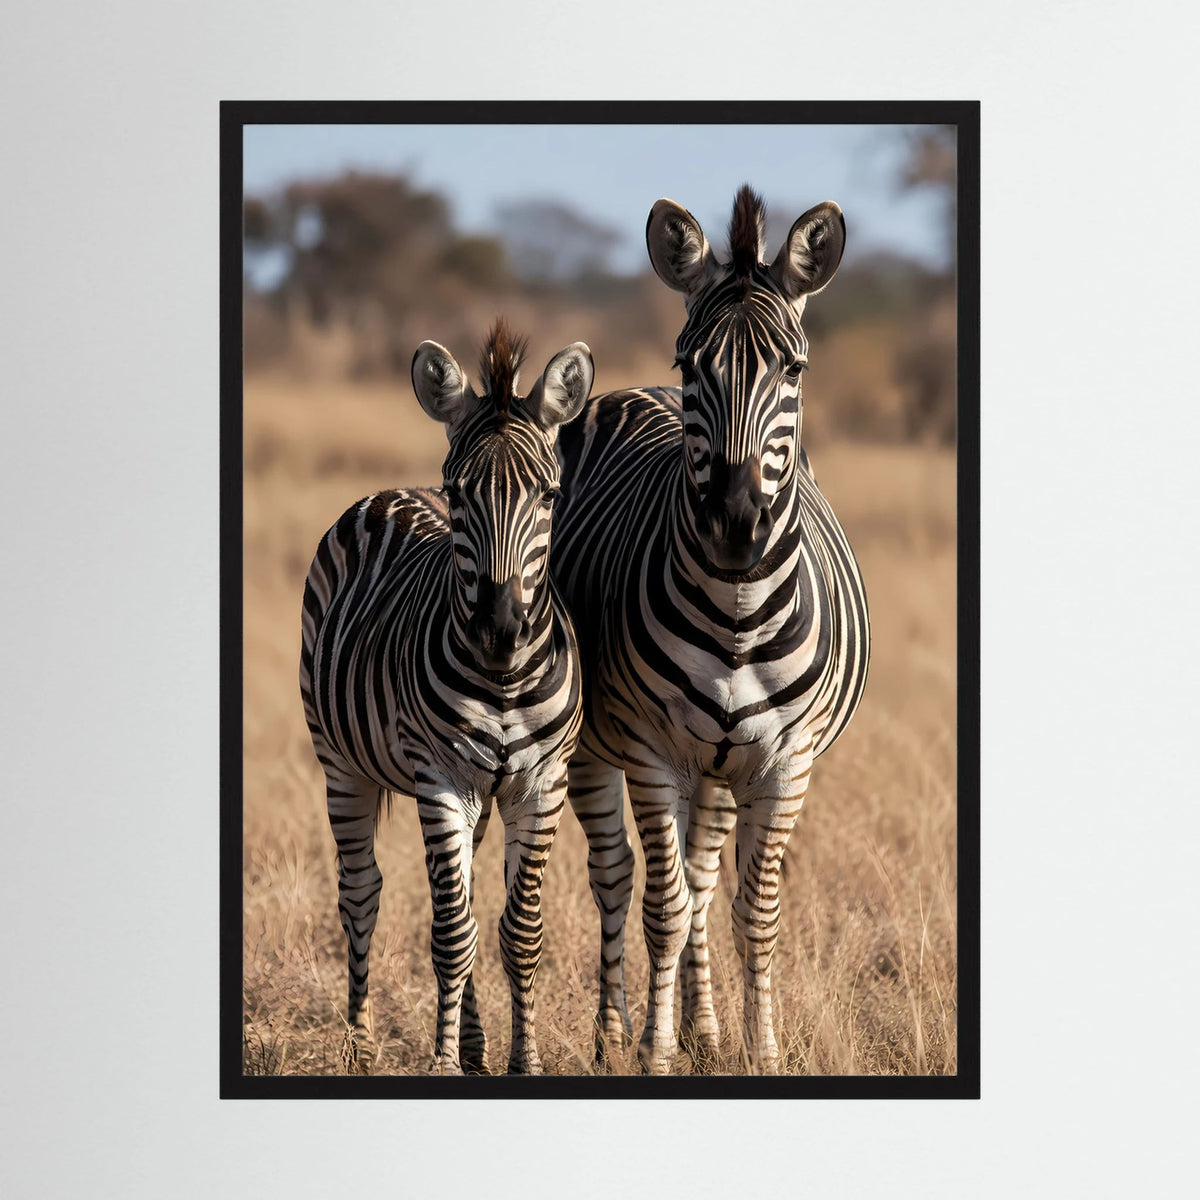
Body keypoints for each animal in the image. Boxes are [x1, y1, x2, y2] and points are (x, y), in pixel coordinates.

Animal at [300, 319, 593, 1075]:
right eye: (459, 494)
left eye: (549, 497)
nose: (499, 626)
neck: (505, 678)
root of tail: (387, 494)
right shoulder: (440, 778)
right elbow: (452, 933)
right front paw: (438, 1063)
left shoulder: (542, 783)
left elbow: (517, 931)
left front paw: (523, 1061)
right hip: (338, 761)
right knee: (361, 892)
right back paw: (360, 1045)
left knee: (463, 895)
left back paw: (475, 1043)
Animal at [552, 186, 870, 1074]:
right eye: (691, 365)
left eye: (793, 369)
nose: (734, 523)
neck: (737, 611)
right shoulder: (651, 751)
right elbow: (660, 907)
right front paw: (653, 1054)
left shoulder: (786, 763)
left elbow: (750, 913)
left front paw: (759, 1052)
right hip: (601, 747)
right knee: (619, 878)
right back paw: (615, 1035)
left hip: (723, 768)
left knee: (700, 879)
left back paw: (707, 1029)